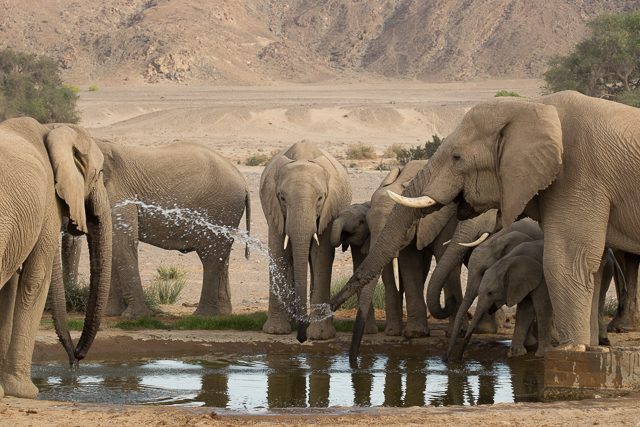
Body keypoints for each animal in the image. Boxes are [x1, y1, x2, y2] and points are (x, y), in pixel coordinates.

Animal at [0, 117, 111, 398]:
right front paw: (26, 392)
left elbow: (11, 286)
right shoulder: (47, 205)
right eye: (99, 174)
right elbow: (36, 279)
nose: (76, 359)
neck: (51, 128)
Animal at [60, 140, 250, 318]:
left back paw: (203, 315)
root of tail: (243, 181)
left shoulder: (119, 194)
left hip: (219, 209)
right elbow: (111, 244)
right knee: (222, 257)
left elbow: (123, 243)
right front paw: (110, 314)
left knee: (210, 256)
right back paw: (222, 313)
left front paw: (133, 317)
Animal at [258, 142, 350, 342]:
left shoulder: (329, 210)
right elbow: (279, 252)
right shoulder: (273, 208)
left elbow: (321, 256)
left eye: (320, 198)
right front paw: (276, 331)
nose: (301, 339)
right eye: (282, 197)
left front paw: (320, 336)